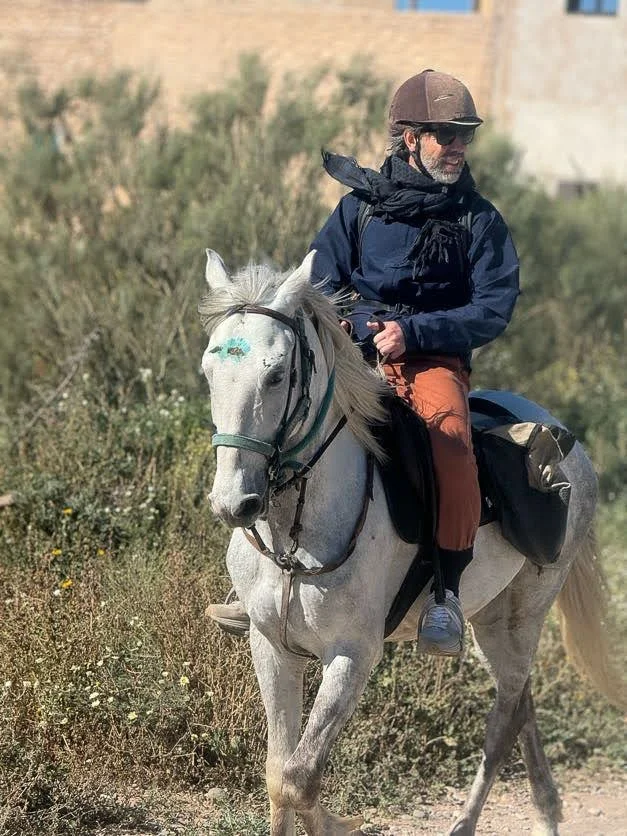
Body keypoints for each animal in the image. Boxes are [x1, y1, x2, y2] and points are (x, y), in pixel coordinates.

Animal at [199, 249, 624, 836]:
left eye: (278, 374)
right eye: (209, 370)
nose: (233, 503)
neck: (299, 529)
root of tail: (568, 446)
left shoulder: (352, 655)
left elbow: (299, 777)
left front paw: (337, 822)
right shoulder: (271, 646)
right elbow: (278, 774)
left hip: (524, 614)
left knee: (504, 717)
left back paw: (468, 823)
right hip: (491, 616)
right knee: (521, 703)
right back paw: (547, 811)